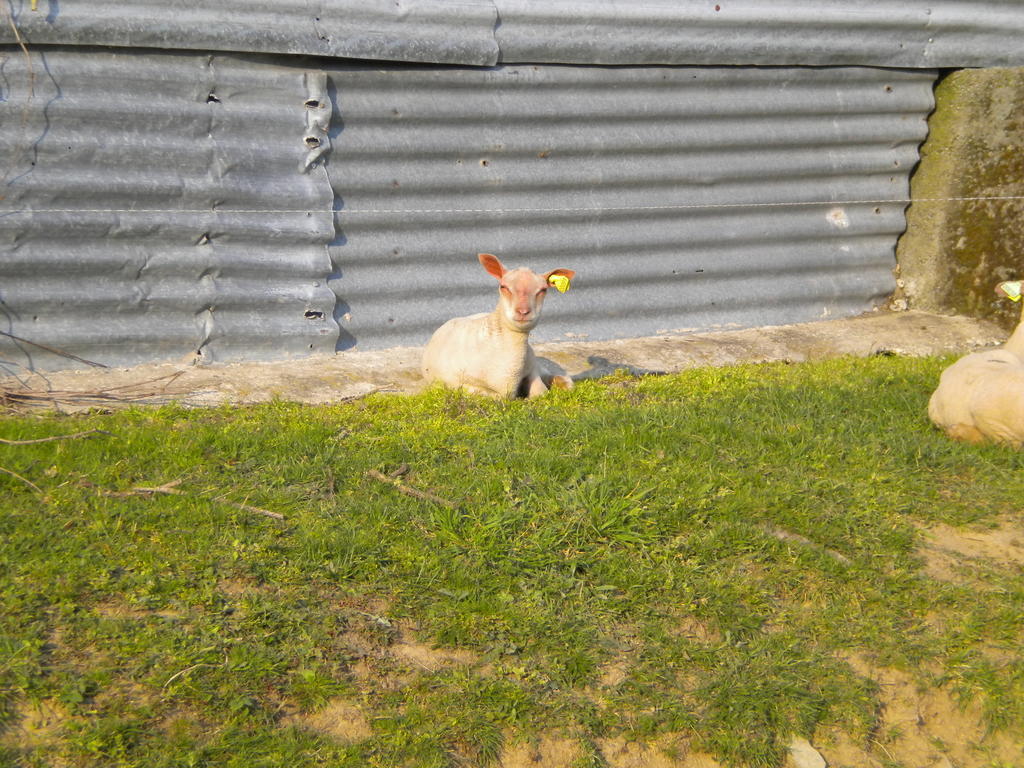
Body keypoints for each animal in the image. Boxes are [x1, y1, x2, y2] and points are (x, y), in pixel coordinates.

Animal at [417, 252, 577, 399]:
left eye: (543, 290)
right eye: (503, 286)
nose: (523, 311)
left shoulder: (532, 370)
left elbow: (540, 392)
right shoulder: (458, 384)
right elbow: (493, 395)